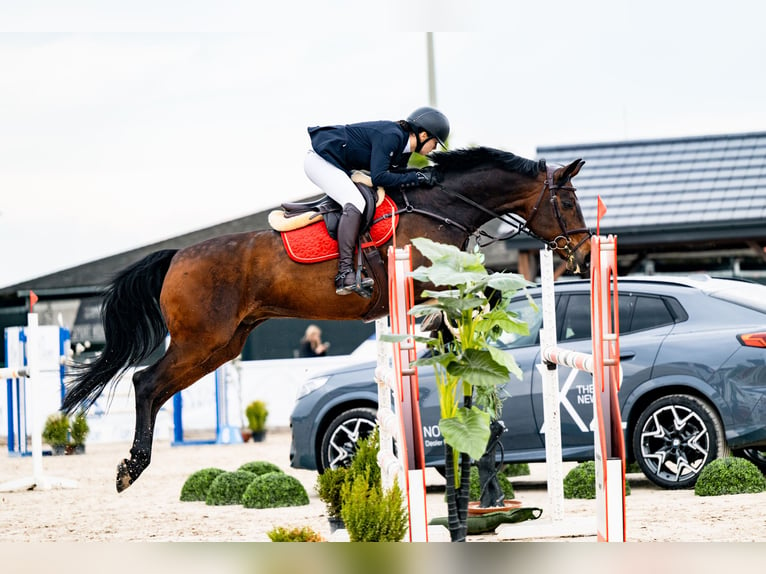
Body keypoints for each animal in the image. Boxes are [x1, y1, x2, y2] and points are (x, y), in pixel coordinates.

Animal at [63, 146, 592, 492]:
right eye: (568, 202)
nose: (584, 255)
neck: (441, 207)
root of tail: (176, 257)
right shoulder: (422, 284)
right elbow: (478, 295)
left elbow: (477, 300)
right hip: (201, 339)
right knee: (146, 382)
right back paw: (130, 468)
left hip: (222, 344)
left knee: (156, 387)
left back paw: (133, 464)